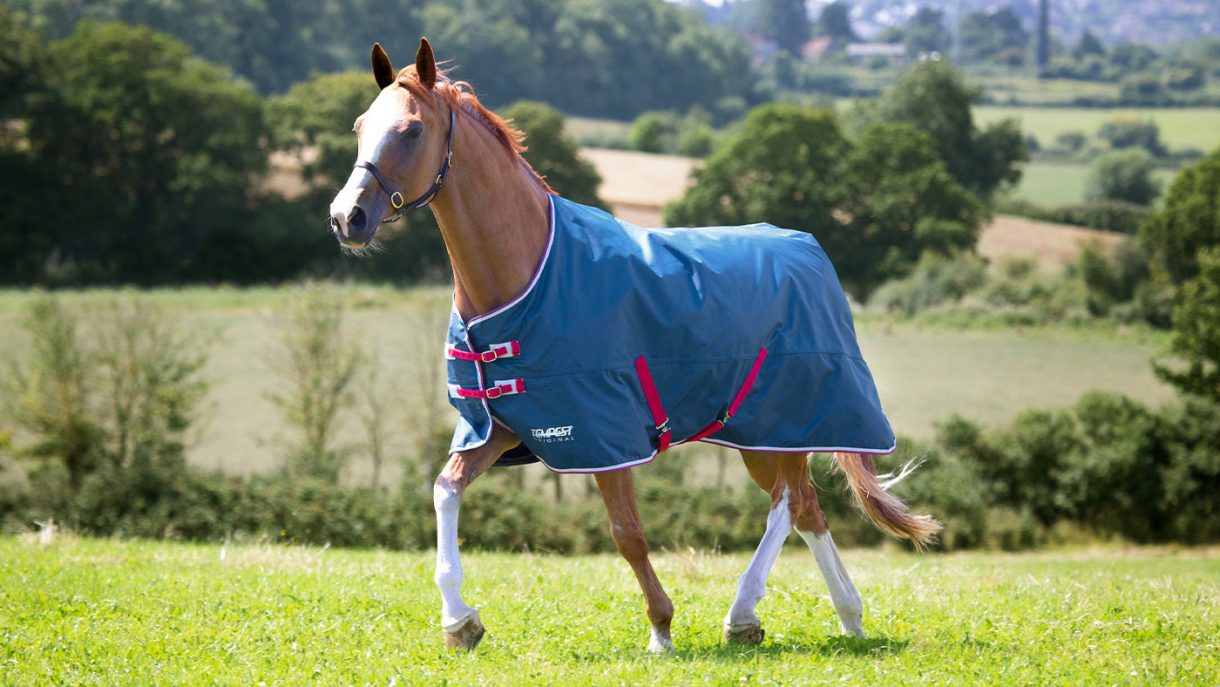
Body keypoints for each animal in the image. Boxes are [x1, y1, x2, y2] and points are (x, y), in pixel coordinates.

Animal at [328, 38, 941, 653]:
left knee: (786, 505)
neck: (527, 273)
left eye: (410, 130)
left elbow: (627, 533)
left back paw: (744, 614)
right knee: (806, 507)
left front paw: (661, 628)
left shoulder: (606, 434)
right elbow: (445, 490)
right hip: (764, 435)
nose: (345, 217)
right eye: (359, 126)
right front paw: (461, 622)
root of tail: (810, 252)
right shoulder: (499, 427)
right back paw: (848, 616)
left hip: (788, 418)